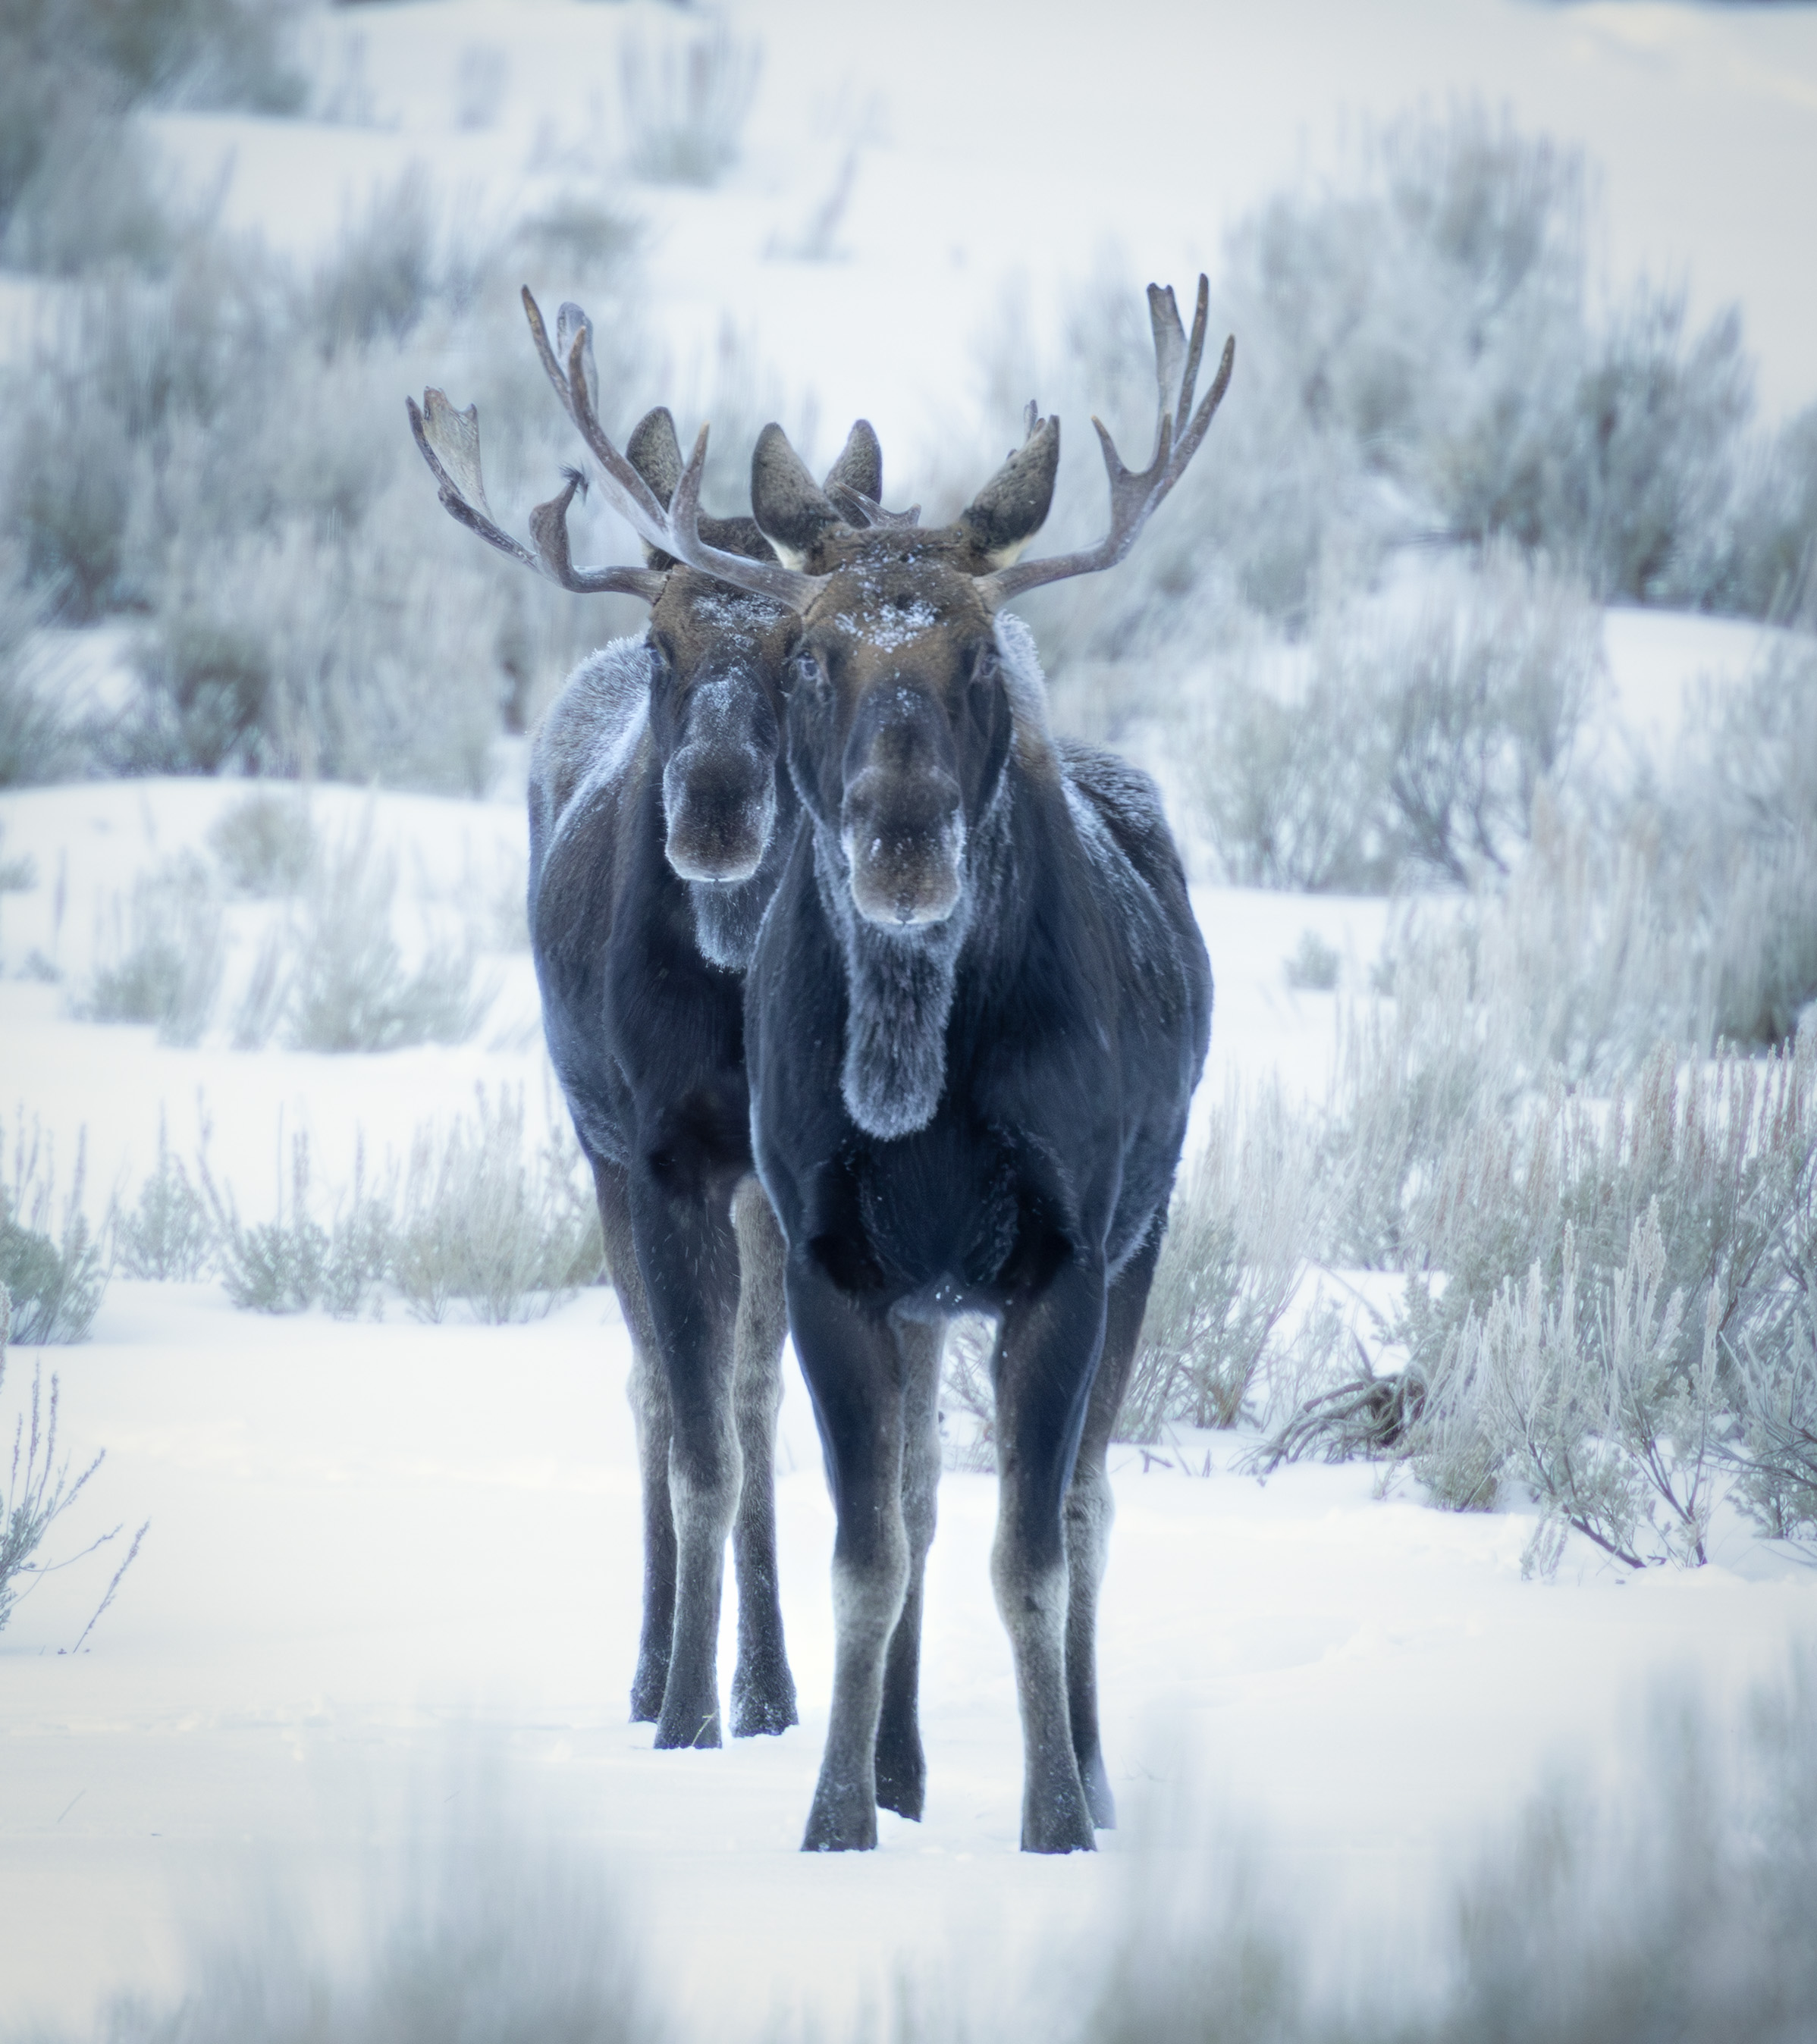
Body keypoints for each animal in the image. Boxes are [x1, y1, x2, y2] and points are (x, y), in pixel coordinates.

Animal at [407, 288, 923, 1750]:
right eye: (662, 644)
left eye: (801, 654)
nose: (715, 803)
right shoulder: (652, 1152)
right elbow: (690, 1440)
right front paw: (685, 1708)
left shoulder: (782, 1171)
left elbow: (751, 1426)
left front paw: (759, 1691)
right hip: (596, 1146)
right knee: (646, 1387)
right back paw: (648, 1667)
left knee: (735, 1402)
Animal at [559, 275, 1232, 1851]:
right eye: (815, 652)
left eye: (977, 654)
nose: (902, 834)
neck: (912, 1084)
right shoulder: (835, 1257)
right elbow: (865, 1550)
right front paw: (837, 1815)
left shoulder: (1068, 1251)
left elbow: (1030, 1553)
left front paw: (1054, 1821)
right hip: (919, 1291)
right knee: (919, 1499)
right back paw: (908, 1766)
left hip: (1146, 1226)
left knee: (1087, 1507)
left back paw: (1092, 1770)